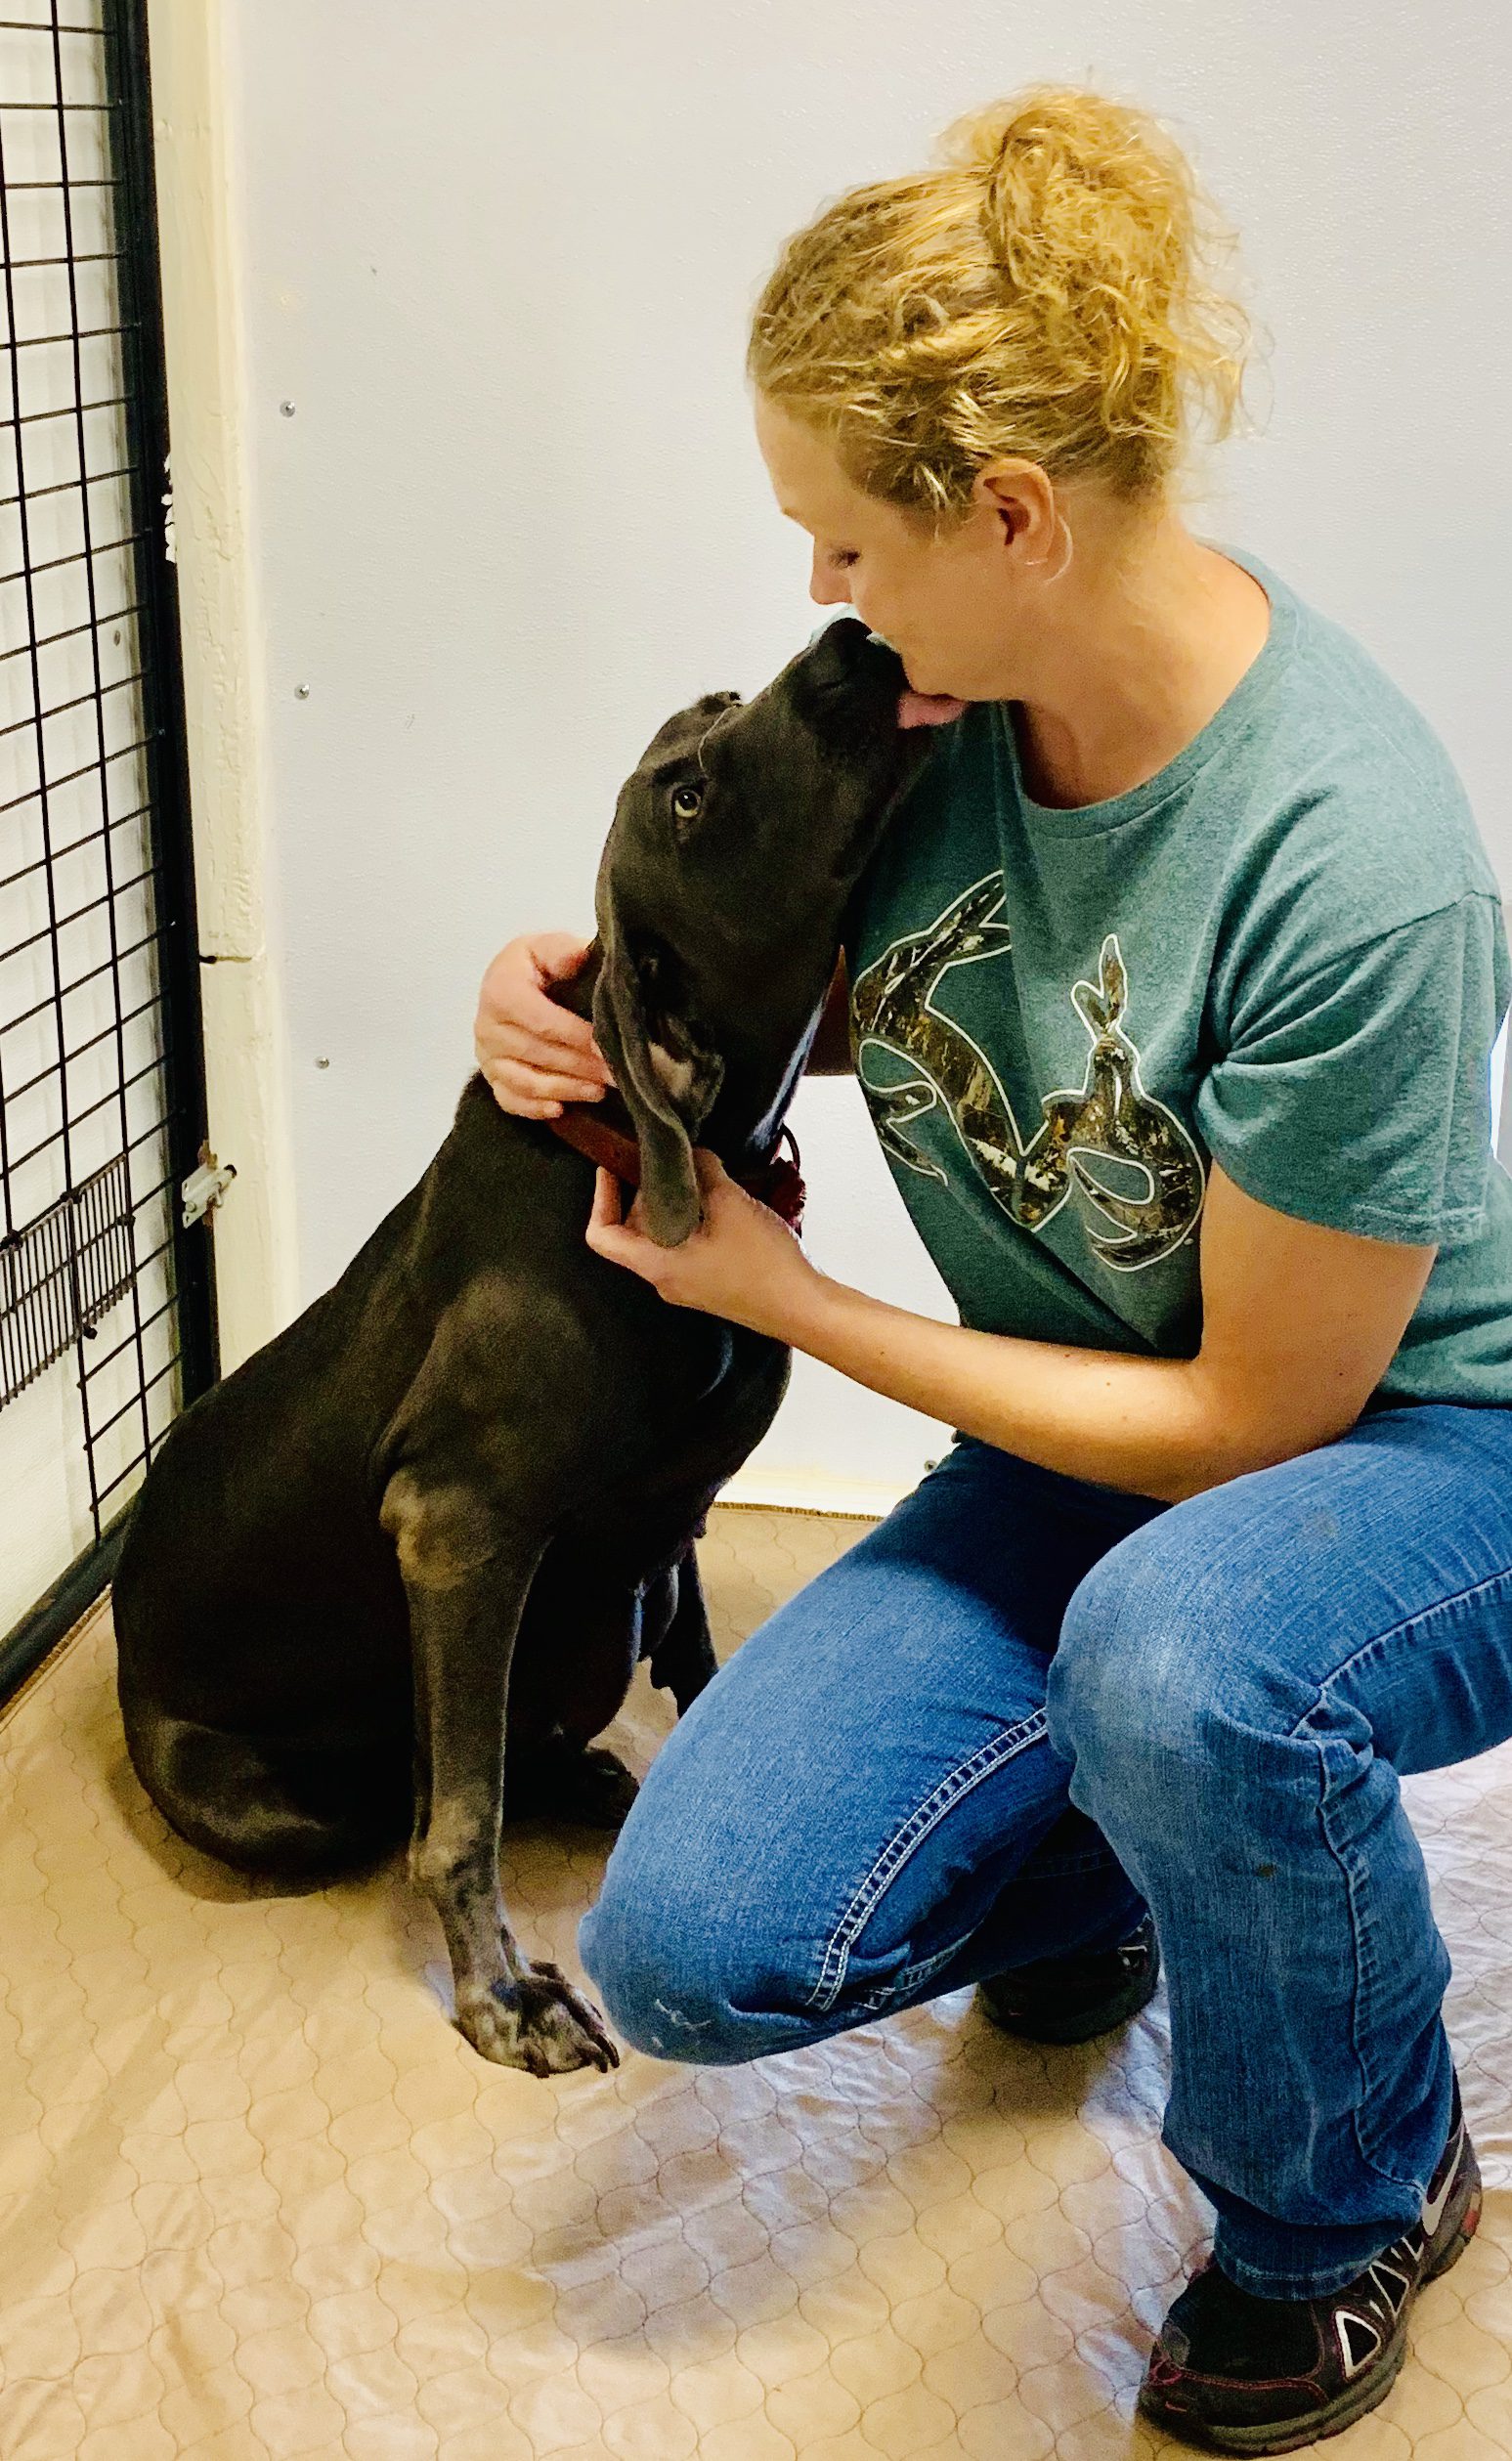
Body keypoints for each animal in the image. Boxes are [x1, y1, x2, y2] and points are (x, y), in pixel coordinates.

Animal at [109, 615, 935, 2077]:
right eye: (686, 797)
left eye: (725, 707)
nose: (850, 638)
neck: (637, 1137)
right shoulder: (456, 1525)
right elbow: (459, 1813)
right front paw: (502, 1995)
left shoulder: (663, 1525)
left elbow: (692, 1654)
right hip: (267, 1790)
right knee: (402, 1795)